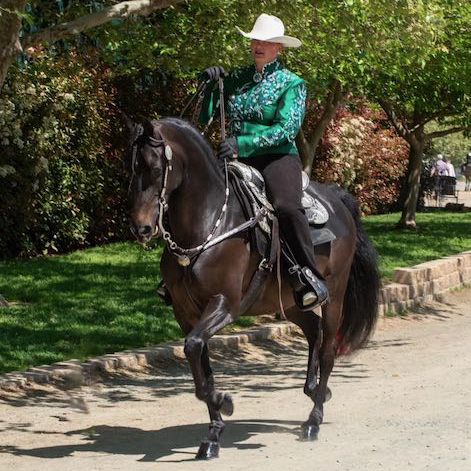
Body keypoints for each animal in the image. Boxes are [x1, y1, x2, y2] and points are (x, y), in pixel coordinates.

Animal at [124, 116, 380, 460]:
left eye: (153, 167)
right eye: (132, 167)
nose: (140, 227)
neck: (209, 223)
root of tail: (337, 200)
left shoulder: (224, 304)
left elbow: (194, 349)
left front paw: (225, 403)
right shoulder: (186, 314)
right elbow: (199, 359)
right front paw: (214, 432)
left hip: (335, 296)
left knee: (327, 348)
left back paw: (313, 419)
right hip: (290, 301)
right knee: (313, 331)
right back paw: (316, 389)